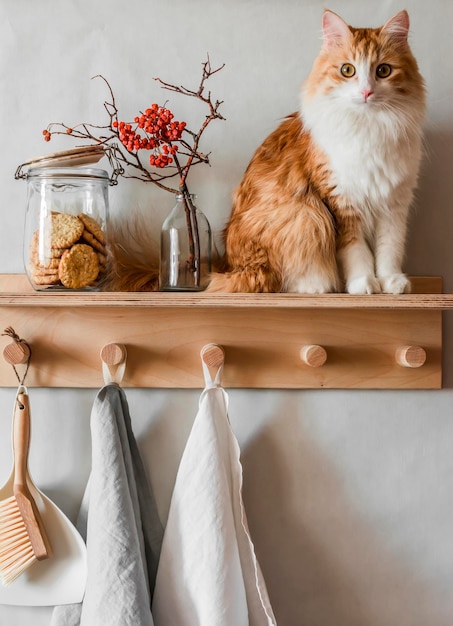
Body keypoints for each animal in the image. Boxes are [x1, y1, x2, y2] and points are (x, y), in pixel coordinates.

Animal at [208, 9, 424, 292]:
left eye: (383, 70)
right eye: (347, 70)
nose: (366, 92)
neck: (369, 128)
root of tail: (233, 266)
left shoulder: (395, 202)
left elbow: (389, 249)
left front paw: (391, 282)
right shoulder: (341, 202)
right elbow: (357, 251)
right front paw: (363, 283)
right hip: (305, 215)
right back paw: (317, 286)